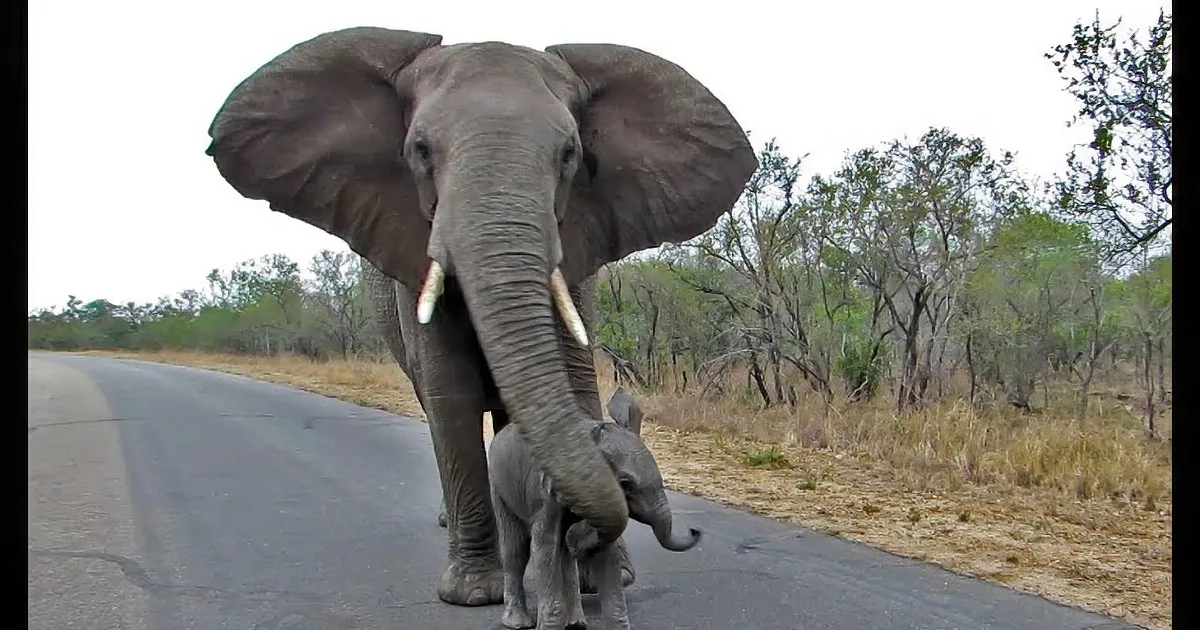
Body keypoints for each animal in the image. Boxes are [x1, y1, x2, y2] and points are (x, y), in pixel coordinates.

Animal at [488, 411, 702, 629]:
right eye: (625, 483)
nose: (695, 530)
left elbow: (605, 554)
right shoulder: (545, 496)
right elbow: (544, 547)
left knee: (563, 554)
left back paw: (576, 623)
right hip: (499, 487)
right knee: (516, 549)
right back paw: (518, 623)